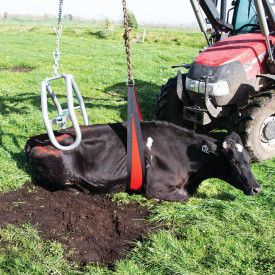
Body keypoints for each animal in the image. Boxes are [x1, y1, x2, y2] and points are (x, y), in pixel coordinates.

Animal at [25, 122, 260, 202]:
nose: (257, 188)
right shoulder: (156, 186)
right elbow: (184, 197)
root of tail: (38, 139)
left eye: (248, 160)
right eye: (234, 161)